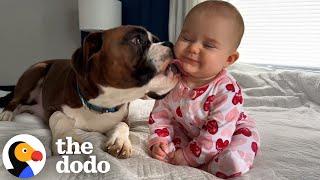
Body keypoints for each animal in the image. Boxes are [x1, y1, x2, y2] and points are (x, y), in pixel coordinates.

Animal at [0, 25, 180, 158]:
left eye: (156, 41)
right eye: (137, 40)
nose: (170, 44)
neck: (104, 103)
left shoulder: (123, 117)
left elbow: (122, 125)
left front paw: (120, 141)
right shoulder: (51, 108)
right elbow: (59, 118)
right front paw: (66, 140)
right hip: (37, 70)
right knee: (15, 100)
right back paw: (7, 114)